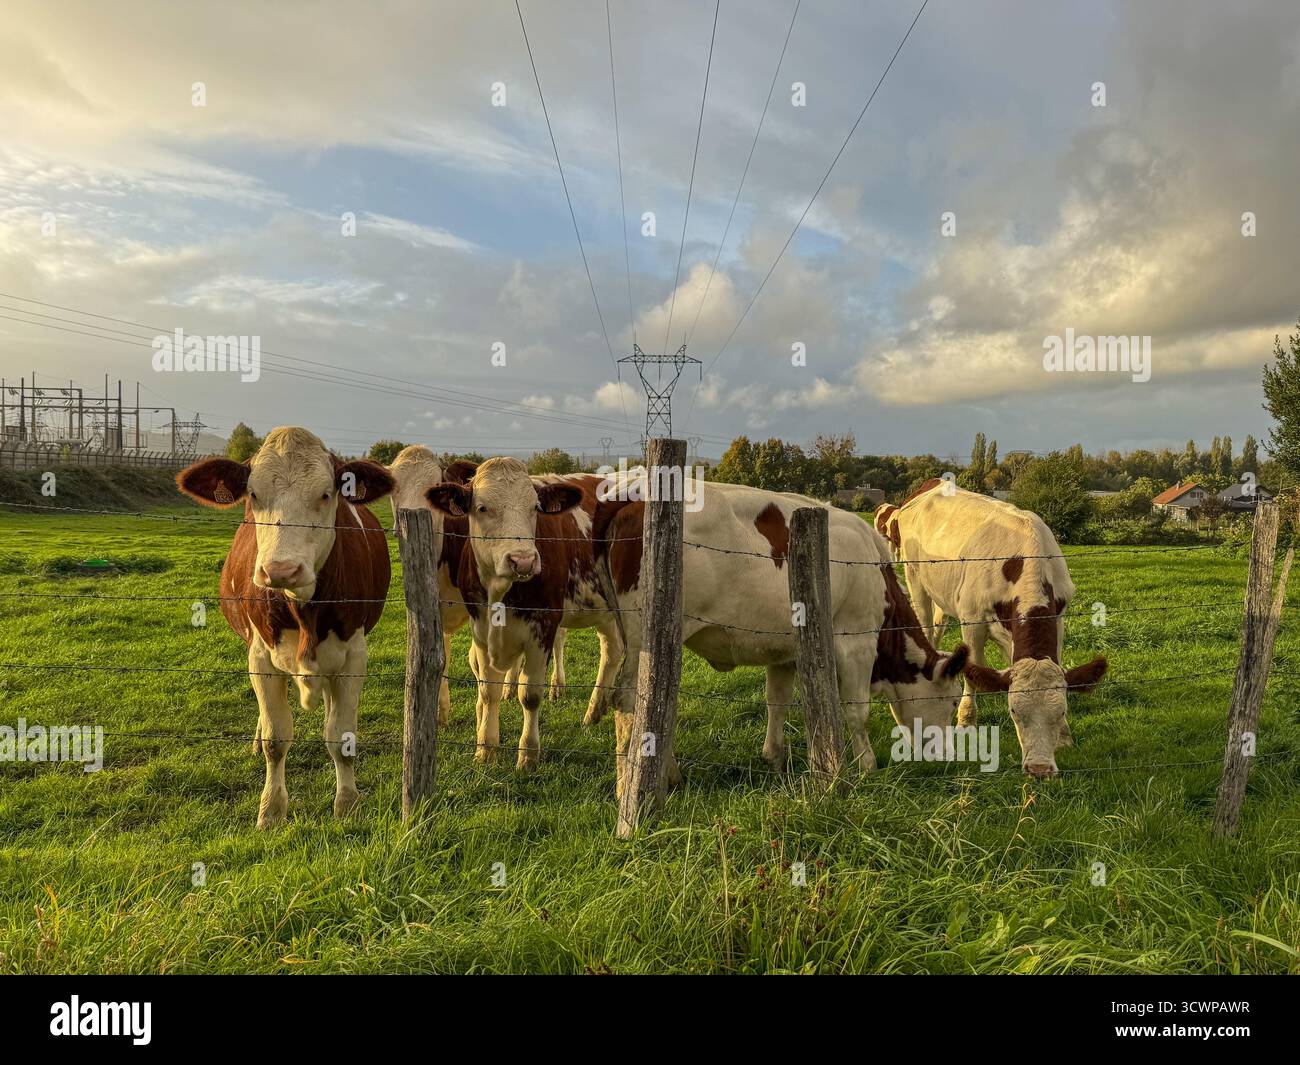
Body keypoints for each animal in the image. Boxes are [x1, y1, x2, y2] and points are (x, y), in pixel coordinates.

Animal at [176, 427, 395, 828]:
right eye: (253, 495)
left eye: (326, 494)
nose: (281, 570)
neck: (302, 606)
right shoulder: (260, 656)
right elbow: (276, 740)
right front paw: (271, 810)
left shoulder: (354, 656)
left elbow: (341, 737)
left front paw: (347, 804)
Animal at [422, 456, 625, 768]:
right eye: (482, 508)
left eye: (535, 507)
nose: (523, 560)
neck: (501, 593)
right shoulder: (480, 629)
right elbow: (488, 690)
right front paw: (485, 749)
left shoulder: (544, 627)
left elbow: (529, 694)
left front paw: (528, 754)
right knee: (612, 651)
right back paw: (595, 711)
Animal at [594, 474, 970, 795]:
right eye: (953, 702)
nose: (947, 758)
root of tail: (630, 492)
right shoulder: (856, 641)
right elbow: (856, 710)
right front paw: (867, 767)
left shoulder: (785, 651)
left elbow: (777, 702)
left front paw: (775, 759)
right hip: (644, 638)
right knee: (629, 701)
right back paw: (629, 784)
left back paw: (667, 774)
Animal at [874, 479, 1108, 778]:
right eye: (1014, 712)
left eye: (1062, 712)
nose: (1040, 769)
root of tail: (933, 483)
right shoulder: (971, 619)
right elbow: (972, 671)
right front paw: (966, 719)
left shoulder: (1058, 619)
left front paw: (1064, 737)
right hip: (914, 578)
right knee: (925, 625)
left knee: (938, 627)